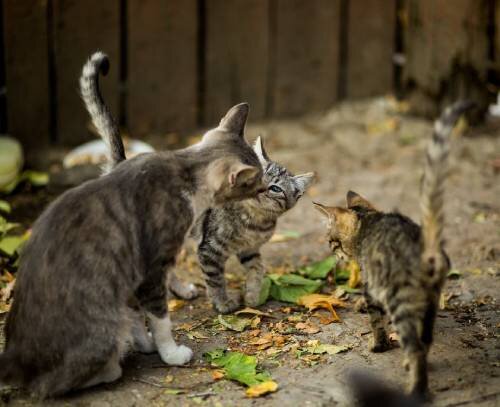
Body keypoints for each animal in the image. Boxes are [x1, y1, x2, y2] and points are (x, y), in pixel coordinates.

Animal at [0, 51, 264, 398]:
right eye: (256, 182)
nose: (265, 189)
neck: (185, 168)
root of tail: (14, 359)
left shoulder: (132, 271)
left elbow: (141, 312)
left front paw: (146, 341)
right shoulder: (148, 265)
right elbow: (160, 317)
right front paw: (170, 352)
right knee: (52, 384)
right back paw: (113, 364)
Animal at [314, 101, 474, 398]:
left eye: (331, 241)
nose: (333, 254)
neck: (369, 222)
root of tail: (426, 248)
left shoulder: (373, 287)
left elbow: (376, 321)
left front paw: (378, 345)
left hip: (400, 299)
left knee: (416, 348)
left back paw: (416, 390)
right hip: (431, 301)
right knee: (425, 341)